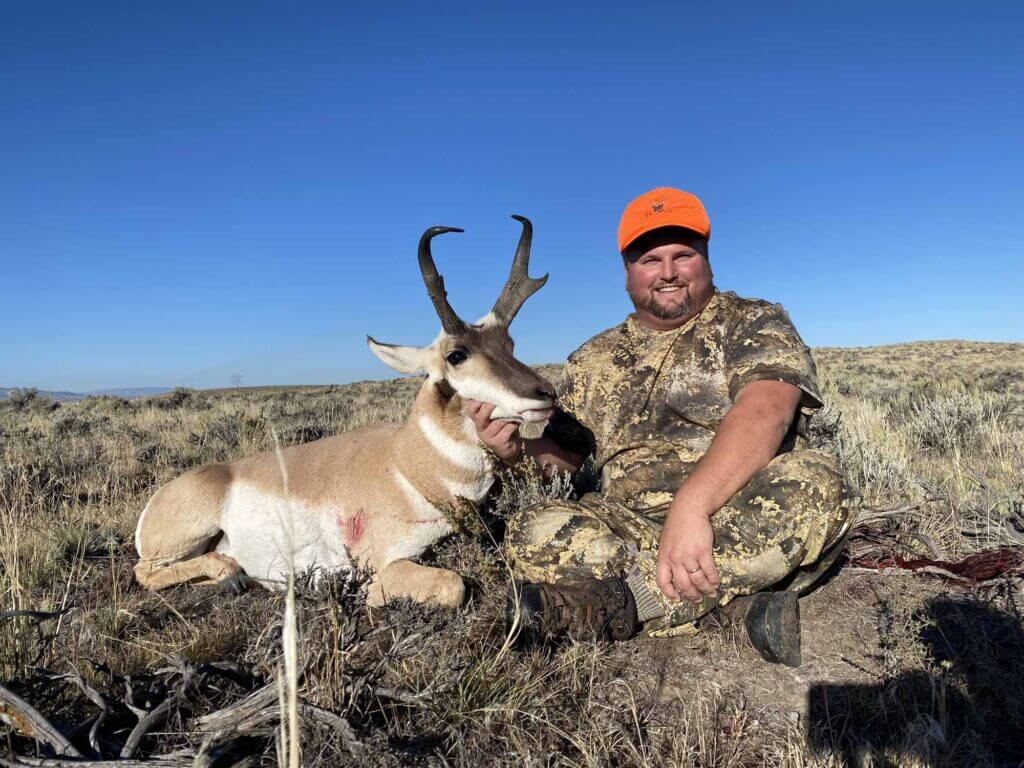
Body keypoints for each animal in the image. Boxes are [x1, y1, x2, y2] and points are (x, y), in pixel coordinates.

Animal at [133, 216, 556, 607]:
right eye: (456, 355)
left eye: (509, 343)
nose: (546, 394)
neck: (406, 464)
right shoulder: (384, 564)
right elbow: (454, 584)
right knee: (145, 571)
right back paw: (230, 572)